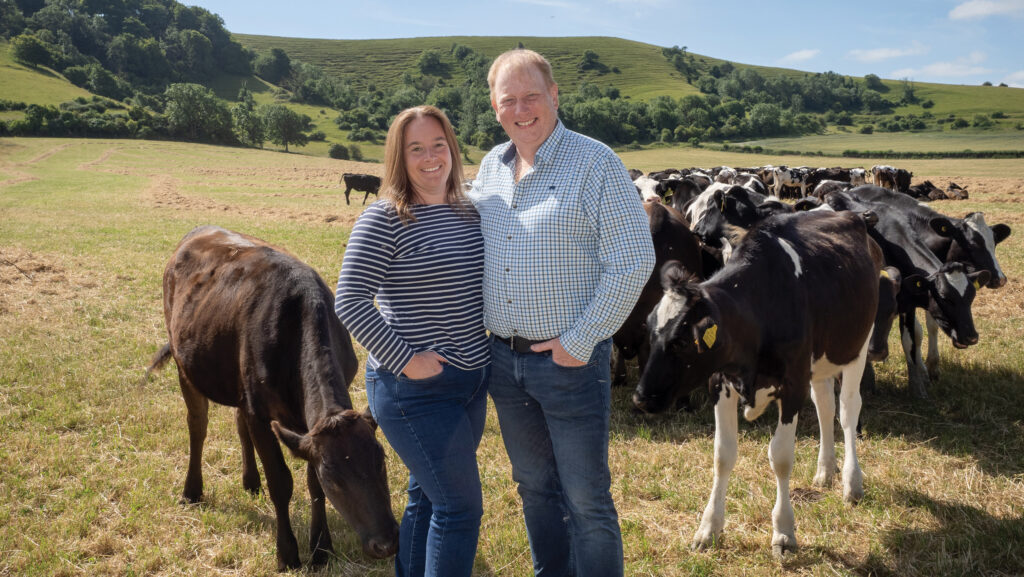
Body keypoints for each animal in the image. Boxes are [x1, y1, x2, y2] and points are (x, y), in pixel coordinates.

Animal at [148, 224, 399, 569]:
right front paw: (288, 553)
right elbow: (281, 482)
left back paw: (250, 481)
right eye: (334, 478)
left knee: (238, 423)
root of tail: (199, 231)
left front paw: (321, 549)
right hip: (186, 365)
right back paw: (192, 491)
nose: (386, 544)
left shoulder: (301, 424)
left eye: (381, 462)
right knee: (197, 426)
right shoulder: (260, 411)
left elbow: (310, 484)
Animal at [630, 212, 880, 561]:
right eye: (650, 331)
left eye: (681, 341)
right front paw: (709, 529)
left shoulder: (793, 384)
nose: (640, 398)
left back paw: (851, 483)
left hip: (857, 345)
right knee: (824, 405)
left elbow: (781, 456)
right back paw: (825, 471)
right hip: (820, 363)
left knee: (846, 410)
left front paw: (784, 531)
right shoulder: (720, 382)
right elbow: (722, 455)